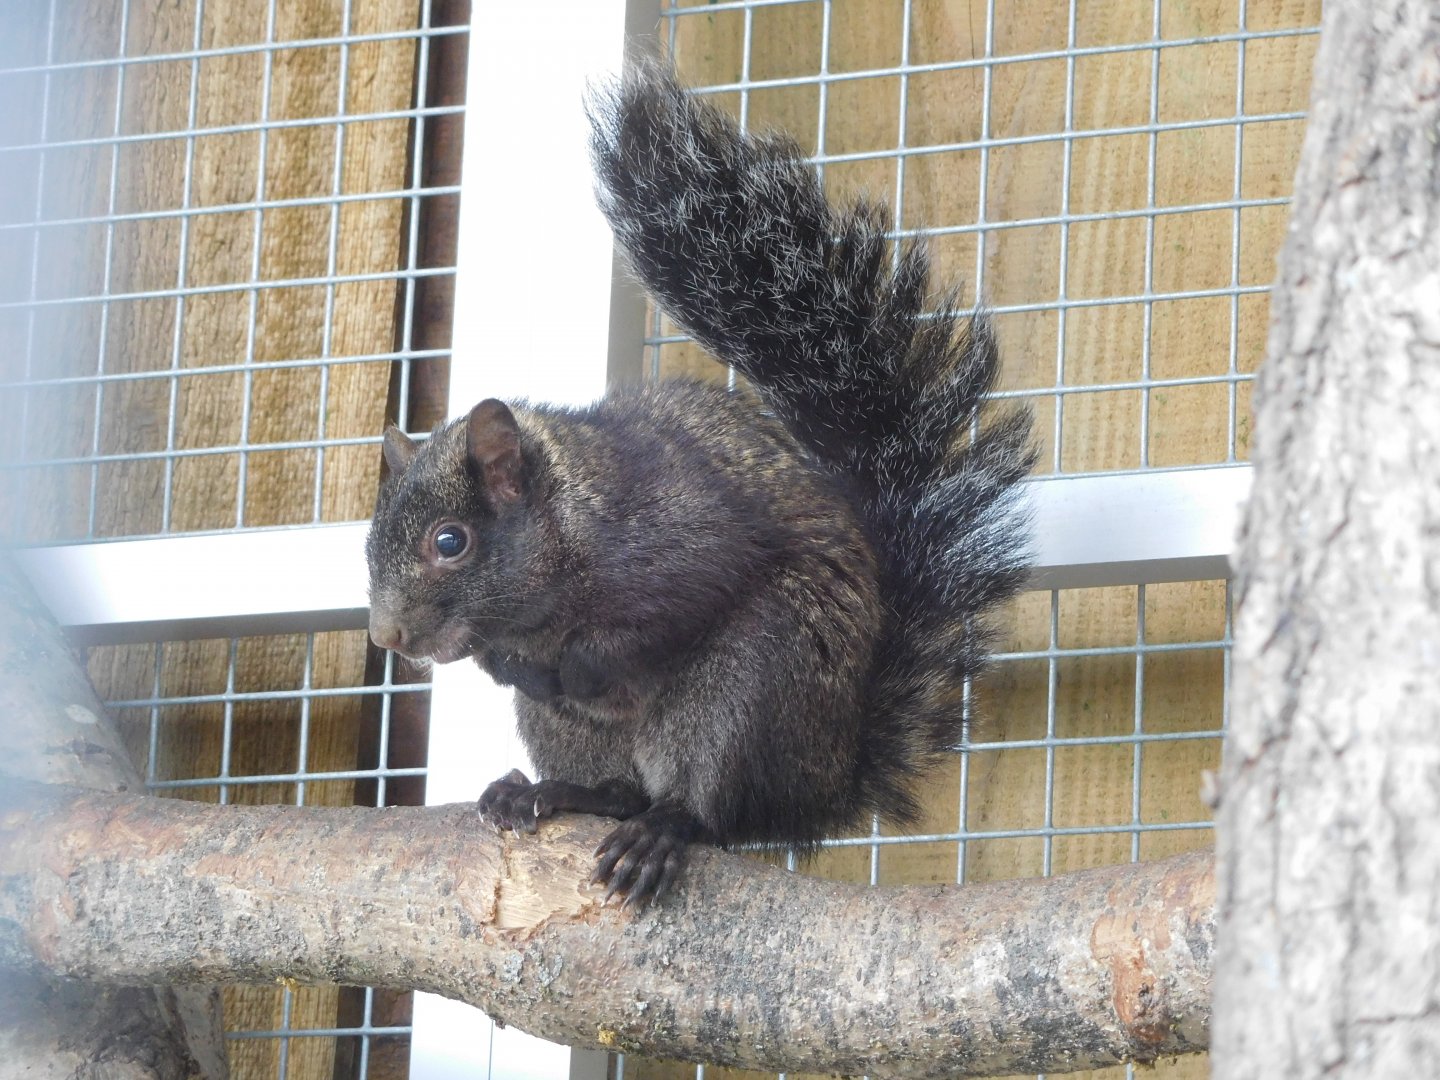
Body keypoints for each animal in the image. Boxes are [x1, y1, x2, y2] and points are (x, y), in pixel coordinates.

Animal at [366, 60, 1035, 908]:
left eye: (450, 541)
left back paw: (665, 827)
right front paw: (516, 671)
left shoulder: (680, 534)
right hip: (578, 732)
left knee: (708, 807)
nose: (386, 635)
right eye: (367, 545)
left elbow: (672, 605)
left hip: (753, 680)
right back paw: (553, 791)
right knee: (618, 789)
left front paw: (580, 665)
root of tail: (821, 788)